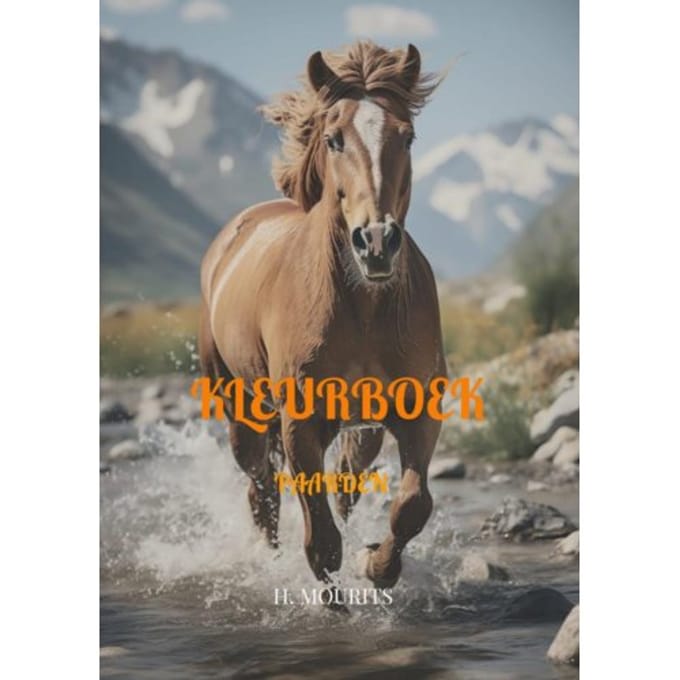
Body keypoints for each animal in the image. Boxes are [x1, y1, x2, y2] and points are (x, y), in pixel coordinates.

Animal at [199, 41, 446, 606]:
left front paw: (376, 566)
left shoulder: (417, 410)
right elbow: (321, 535)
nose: (376, 242)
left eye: (407, 136)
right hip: (239, 408)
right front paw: (331, 595)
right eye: (334, 139)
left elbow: (412, 505)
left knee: (342, 486)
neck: (364, 308)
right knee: (262, 490)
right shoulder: (301, 421)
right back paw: (267, 562)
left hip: (361, 429)